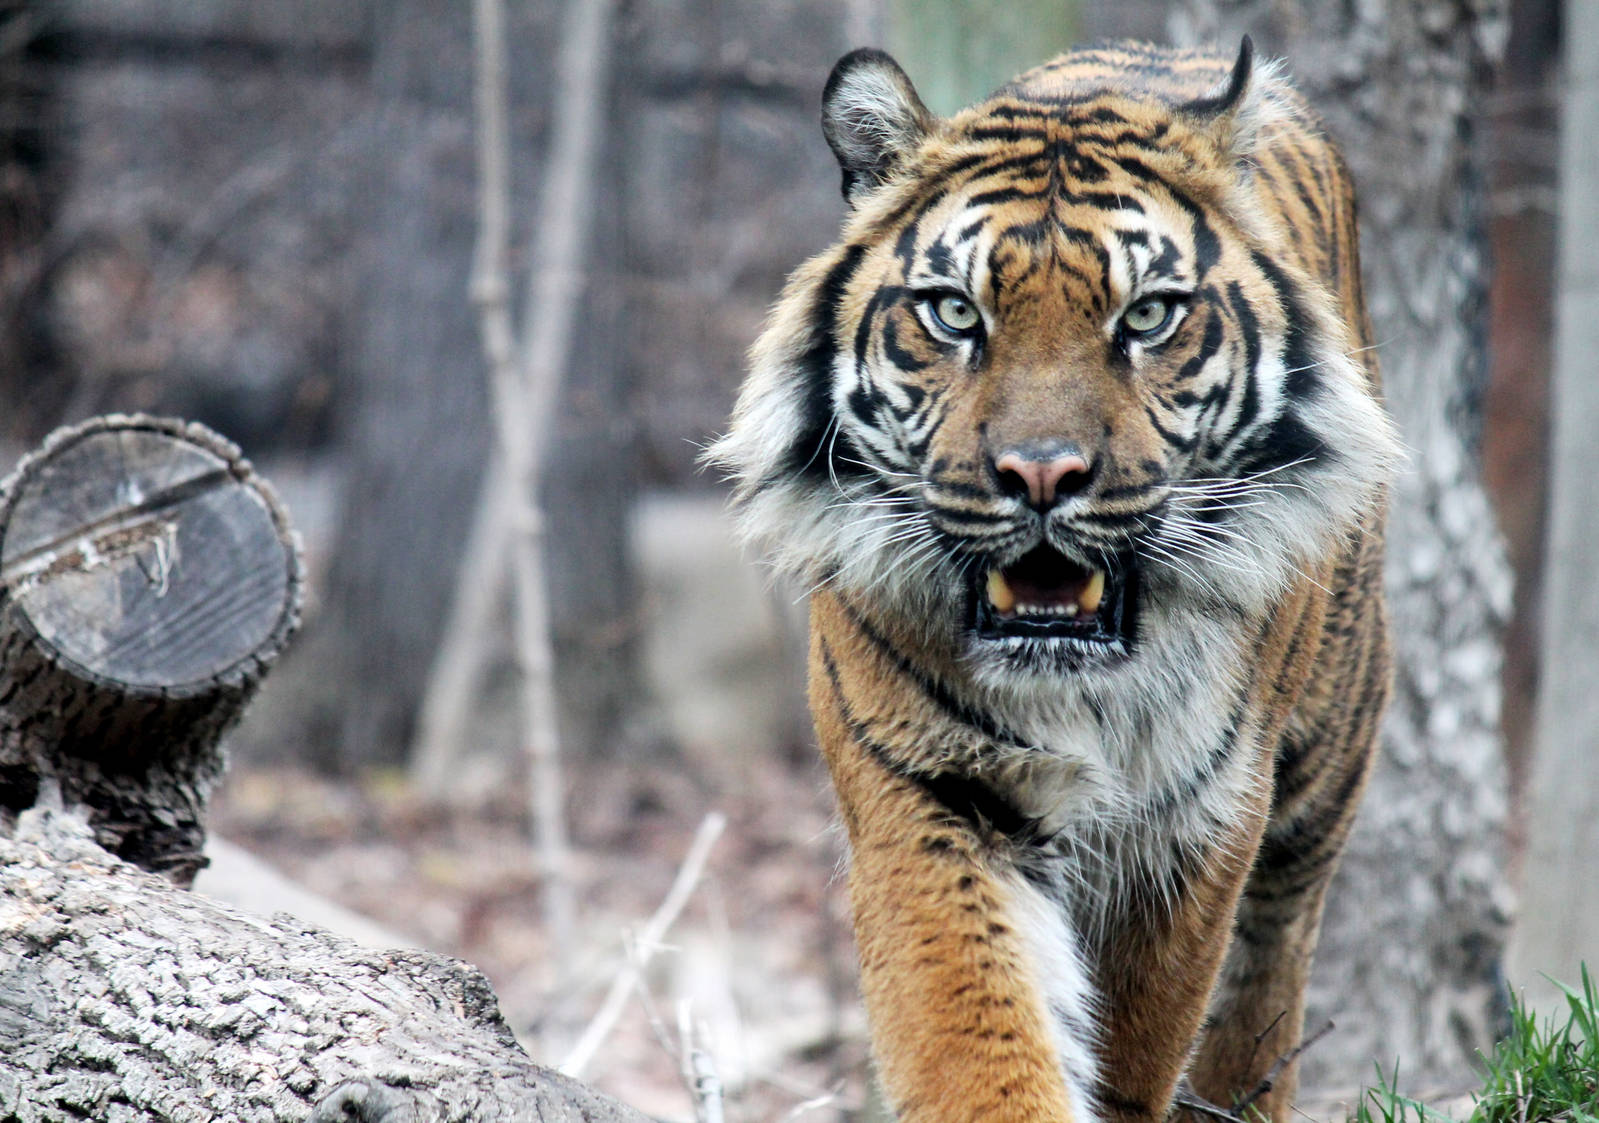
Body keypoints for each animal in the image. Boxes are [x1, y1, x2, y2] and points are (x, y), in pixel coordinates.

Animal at [709, 37, 1398, 1123]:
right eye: (955, 313)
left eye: (1147, 316)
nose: (1040, 474)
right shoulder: (927, 788)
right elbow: (974, 1030)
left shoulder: (1194, 821)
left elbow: (1141, 1036)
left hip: (1324, 761)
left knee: (1269, 977)